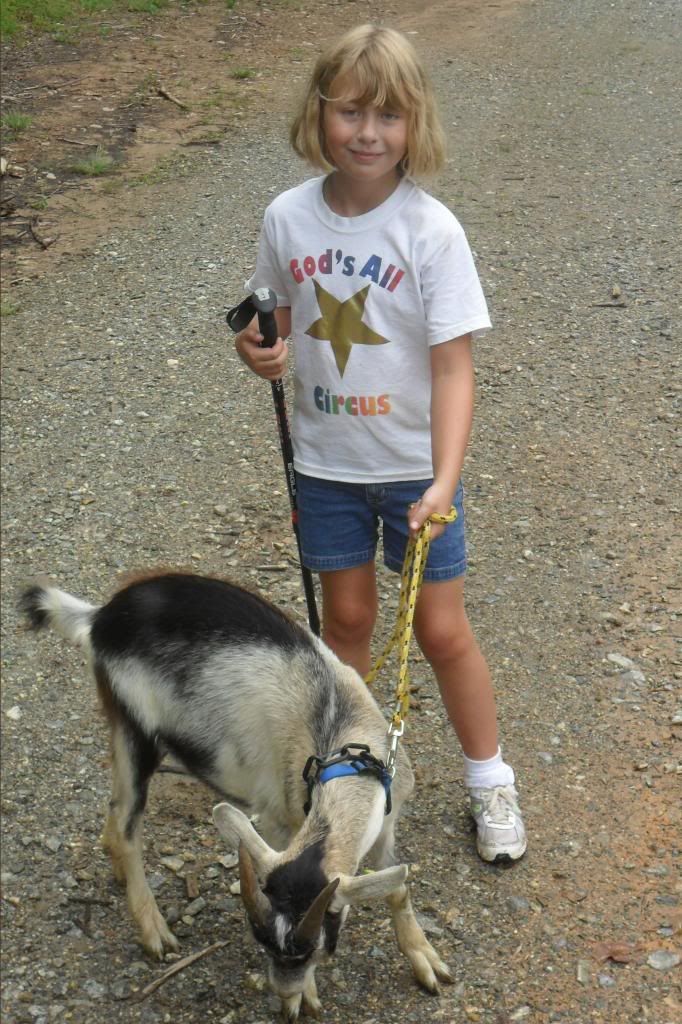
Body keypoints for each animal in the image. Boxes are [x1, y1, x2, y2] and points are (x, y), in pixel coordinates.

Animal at [20, 572, 452, 1020]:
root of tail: (100, 617)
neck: (342, 748)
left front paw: (424, 958)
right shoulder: (281, 820)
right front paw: (306, 997)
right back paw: (154, 929)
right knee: (126, 825)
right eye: (264, 942)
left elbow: (397, 886)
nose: (283, 993)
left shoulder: (384, 821)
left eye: (317, 945)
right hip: (134, 727)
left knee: (114, 816)